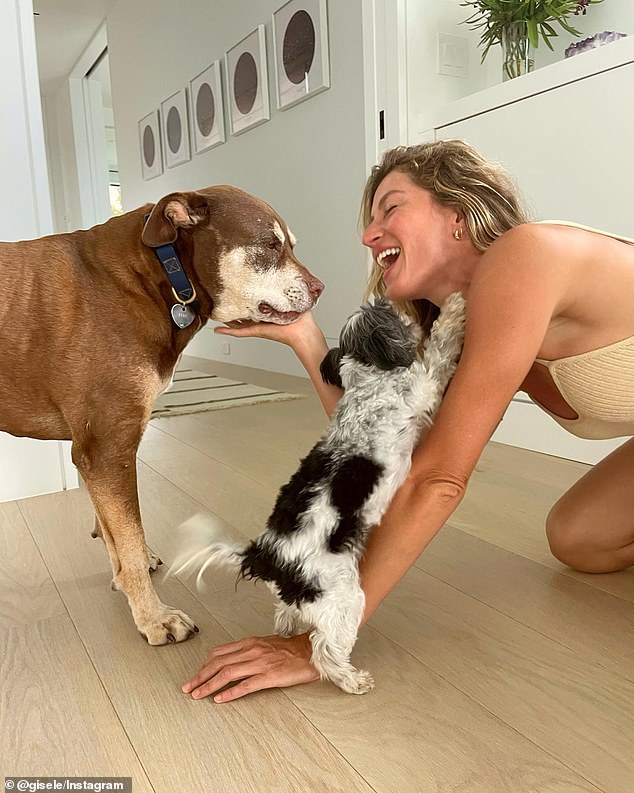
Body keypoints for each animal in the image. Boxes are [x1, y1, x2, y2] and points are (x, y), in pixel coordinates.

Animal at [0, 186, 324, 644]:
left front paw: (125, 585)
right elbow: (130, 543)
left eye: (291, 245)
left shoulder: (94, 454)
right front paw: (153, 618)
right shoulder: (108, 449)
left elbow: (115, 536)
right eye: (270, 245)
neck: (160, 273)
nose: (320, 288)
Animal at [170, 292, 462, 692]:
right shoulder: (422, 387)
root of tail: (265, 558)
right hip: (344, 598)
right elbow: (438, 352)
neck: (369, 381)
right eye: (390, 311)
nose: (390, 295)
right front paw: (455, 310)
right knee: (325, 651)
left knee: (288, 610)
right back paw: (351, 680)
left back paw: (287, 624)